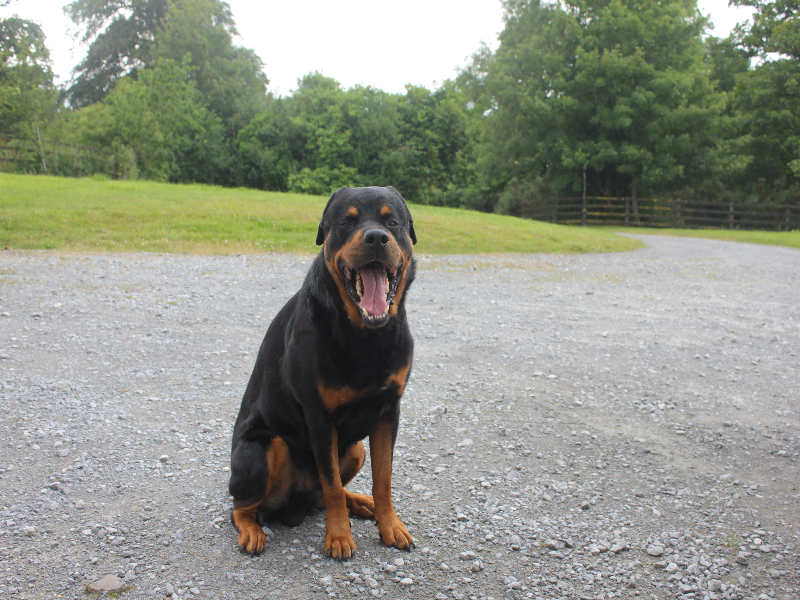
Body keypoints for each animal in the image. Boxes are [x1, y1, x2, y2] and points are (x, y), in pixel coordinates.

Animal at [230, 185, 418, 560]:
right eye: (347, 223)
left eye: (392, 222)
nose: (377, 238)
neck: (366, 335)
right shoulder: (319, 417)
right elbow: (330, 483)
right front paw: (339, 537)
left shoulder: (389, 410)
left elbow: (383, 478)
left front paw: (389, 525)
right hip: (265, 447)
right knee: (242, 506)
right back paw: (252, 531)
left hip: (354, 449)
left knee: (326, 490)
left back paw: (361, 502)